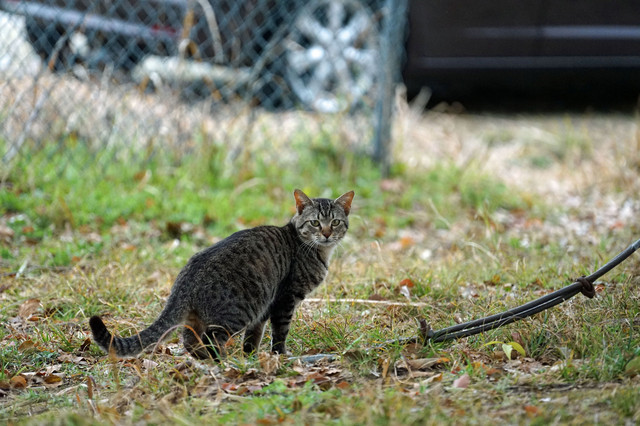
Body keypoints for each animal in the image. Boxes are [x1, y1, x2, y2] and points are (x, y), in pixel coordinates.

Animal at [89, 189, 354, 360]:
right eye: (315, 223)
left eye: (335, 222)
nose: (327, 233)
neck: (317, 251)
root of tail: (185, 278)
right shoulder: (284, 299)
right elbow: (279, 333)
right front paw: (280, 356)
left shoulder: (265, 307)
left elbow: (254, 336)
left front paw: (251, 357)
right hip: (237, 309)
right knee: (210, 338)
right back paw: (223, 362)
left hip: (205, 316)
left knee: (189, 339)